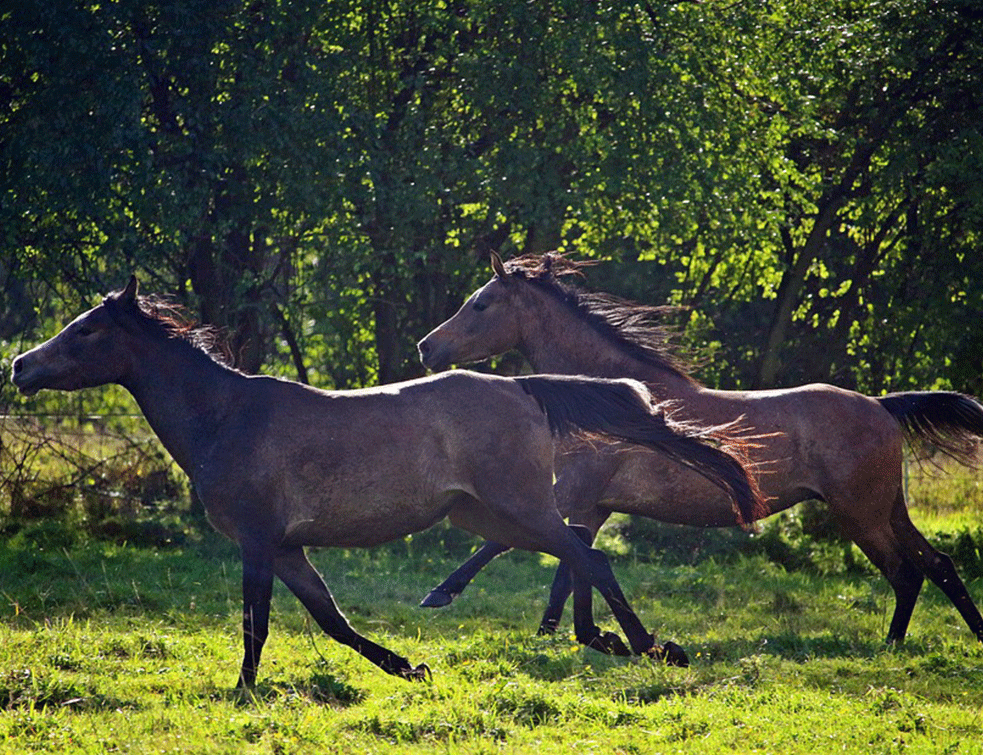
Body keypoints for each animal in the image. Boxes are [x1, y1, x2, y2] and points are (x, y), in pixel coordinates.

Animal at [9, 276, 768, 684]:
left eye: (84, 331)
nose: (19, 364)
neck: (224, 416)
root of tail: (522, 385)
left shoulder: (256, 540)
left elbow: (257, 622)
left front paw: (243, 689)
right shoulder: (286, 546)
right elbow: (330, 618)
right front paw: (407, 666)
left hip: (520, 507)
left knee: (591, 555)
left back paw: (649, 645)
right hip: (489, 516)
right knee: (579, 550)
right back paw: (600, 638)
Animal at [418, 254, 983, 648]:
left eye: (480, 303)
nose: (426, 348)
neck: (609, 397)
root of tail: (882, 405)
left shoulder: (573, 493)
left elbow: (508, 543)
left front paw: (441, 594)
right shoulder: (590, 505)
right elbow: (569, 565)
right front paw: (557, 633)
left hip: (859, 514)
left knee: (906, 572)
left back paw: (891, 644)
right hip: (886, 508)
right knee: (939, 565)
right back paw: (970, 635)